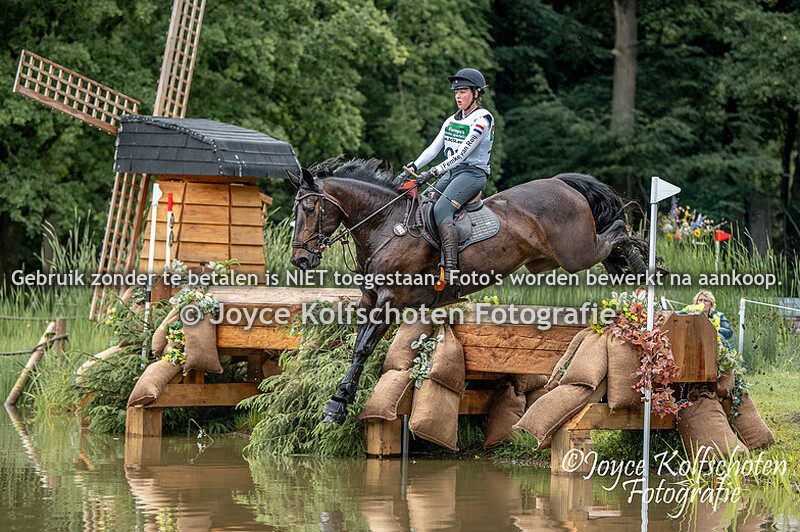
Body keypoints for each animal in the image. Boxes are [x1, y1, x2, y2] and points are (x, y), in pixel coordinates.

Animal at [288, 159, 646, 424]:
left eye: (309, 210)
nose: (300, 260)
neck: (386, 226)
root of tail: (560, 182)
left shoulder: (390, 300)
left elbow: (363, 348)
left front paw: (337, 404)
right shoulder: (370, 298)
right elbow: (357, 348)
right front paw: (340, 399)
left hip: (575, 254)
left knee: (618, 231)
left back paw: (641, 267)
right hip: (551, 260)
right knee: (612, 237)